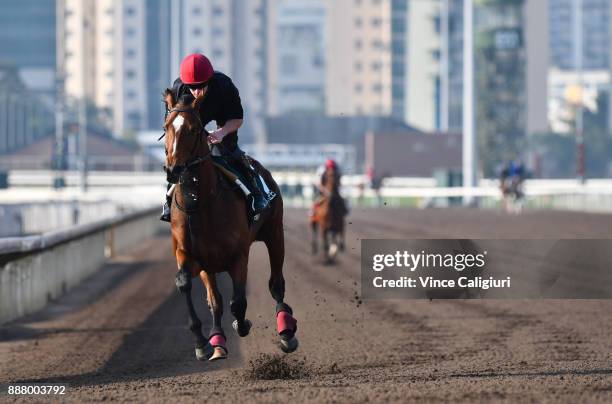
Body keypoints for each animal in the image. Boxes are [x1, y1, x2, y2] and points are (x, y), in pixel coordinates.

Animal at [161, 90, 298, 360]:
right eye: (166, 127)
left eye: (194, 129)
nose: (173, 170)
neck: (200, 203)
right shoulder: (192, 256)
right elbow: (191, 287)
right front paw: (202, 341)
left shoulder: (238, 255)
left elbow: (238, 302)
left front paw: (242, 324)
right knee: (216, 299)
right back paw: (217, 339)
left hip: (274, 233)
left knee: (276, 283)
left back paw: (286, 330)